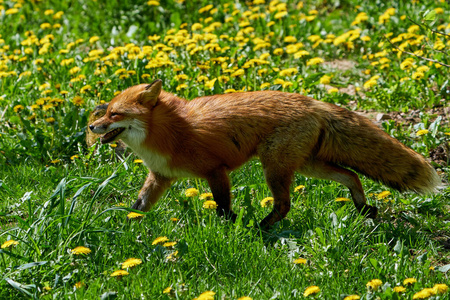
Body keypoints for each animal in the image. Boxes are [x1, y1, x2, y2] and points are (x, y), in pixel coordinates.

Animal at [89, 79, 442, 227]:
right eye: (105, 111)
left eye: (114, 114)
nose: (92, 127)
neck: (169, 132)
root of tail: (312, 101)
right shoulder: (160, 177)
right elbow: (138, 206)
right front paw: (128, 225)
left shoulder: (216, 171)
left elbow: (223, 208)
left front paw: (231, 229)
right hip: (307, 165)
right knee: (351, 175)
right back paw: (364, 209)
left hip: (274, 167)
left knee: (284, 205)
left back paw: (262, 227)